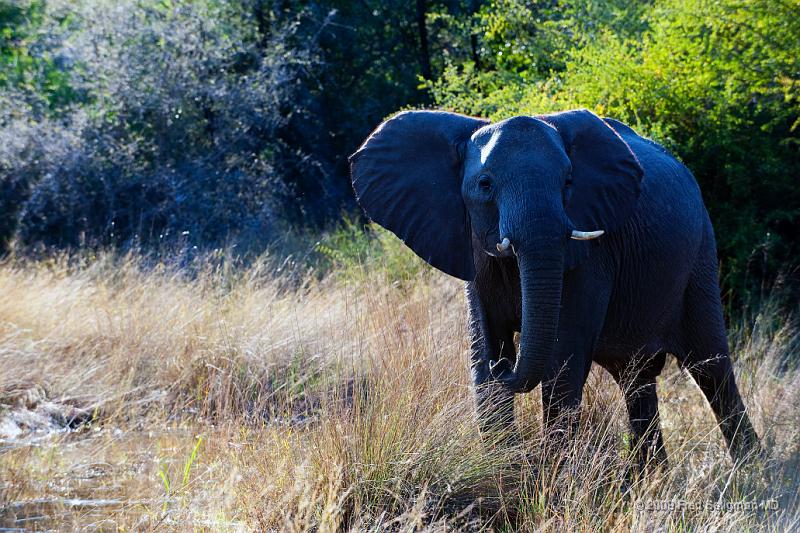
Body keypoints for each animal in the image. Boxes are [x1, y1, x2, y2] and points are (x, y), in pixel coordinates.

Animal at [346, 109, 760, 470]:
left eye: (568, 183)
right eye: (485, 185)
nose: (506, 364)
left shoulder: (591, 253)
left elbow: (563, 361)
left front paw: (552, 482)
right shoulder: (473, 254)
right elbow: (482, 352)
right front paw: (504, 471)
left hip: (700, 256)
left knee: (712, 369)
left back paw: (751, 475)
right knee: (636, 379)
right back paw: (653, 480)